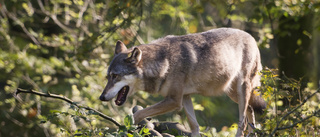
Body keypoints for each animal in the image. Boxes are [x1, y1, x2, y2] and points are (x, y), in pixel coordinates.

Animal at [99, 27, 264, 136]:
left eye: (115, 76)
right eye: (108, 76)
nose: (101, 97)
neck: (165, 63)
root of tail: (251, 37)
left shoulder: (174, 100)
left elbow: (138, 114)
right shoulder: (185, 97)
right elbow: (195, 126)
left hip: (241, 90)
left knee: (243, 121)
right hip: (232, 93)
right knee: (250, 110)